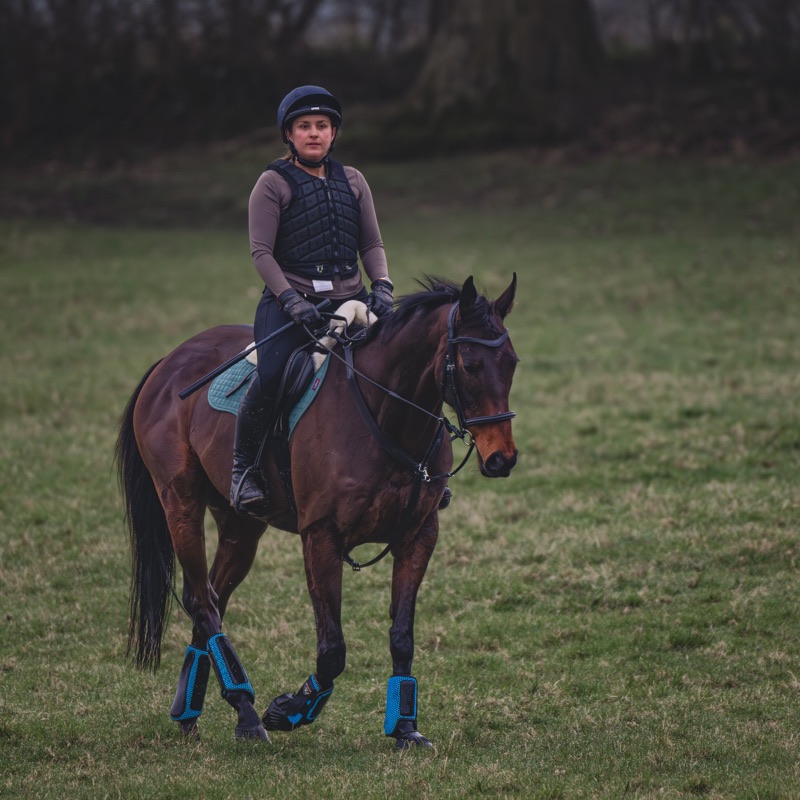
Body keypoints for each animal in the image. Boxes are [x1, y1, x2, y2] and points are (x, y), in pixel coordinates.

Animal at [116, 274, 518, 748]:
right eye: (470, 365)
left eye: (511, 363)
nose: (502, 459)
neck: (384, 414)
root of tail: (169, 361)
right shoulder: (322, 537)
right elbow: (332, 650)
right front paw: (289, 709)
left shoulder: (419, 535)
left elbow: (402, 637)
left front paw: (405, 728)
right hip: (181, 506)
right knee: (202, 600)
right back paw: (247, 712)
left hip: (240, 526)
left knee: (210, 597)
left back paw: (194, 712)